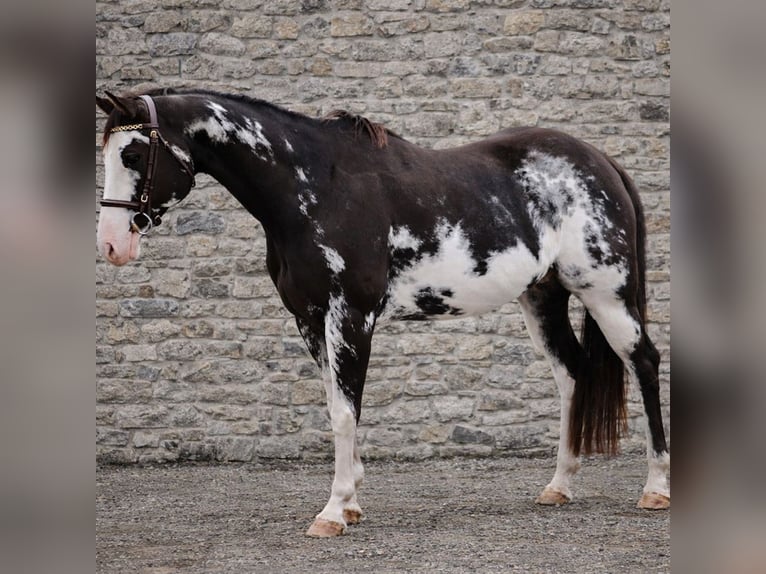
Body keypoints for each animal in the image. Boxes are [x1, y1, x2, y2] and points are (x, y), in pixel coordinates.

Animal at [96, 88, 670, 537]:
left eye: (134, 153)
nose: (112, 246)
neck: (316, 186)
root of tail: (600, 161)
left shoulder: (352, 316)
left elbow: (346, 411)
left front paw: (333, 511)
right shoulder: (310, 319)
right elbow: (335, 406)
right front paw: (350, 503)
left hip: (607, 293)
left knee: (643, 362)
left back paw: (655, 488)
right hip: (544, 298)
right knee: (572, 374)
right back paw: (559, 486)